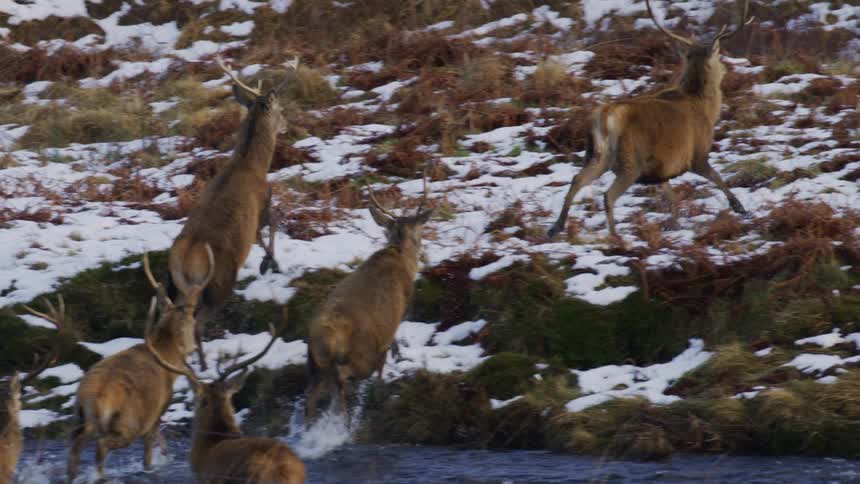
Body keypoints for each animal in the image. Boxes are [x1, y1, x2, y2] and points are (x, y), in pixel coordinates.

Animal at [67, 248, 214, 481]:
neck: (167, 358)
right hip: (128, 422)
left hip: (79, 418)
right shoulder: (157, 411)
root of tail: (92, 398)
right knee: (101, 447)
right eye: (192, 320)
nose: (194, 348)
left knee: (74, 450)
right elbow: (148, 455)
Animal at [168, 56, 299, 370]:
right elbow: (272, 226)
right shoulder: (263, 201)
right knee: (197, 324)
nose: (287, 125)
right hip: (218, 283)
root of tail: (183, 261)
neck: (253, 164)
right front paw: (270, 263)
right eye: (280, 109)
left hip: (175, 289)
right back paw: (204, 367)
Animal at [304, 179, 435, 423]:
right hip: (360, 356)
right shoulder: (398, 316)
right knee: (343, 376)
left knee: (311, 398)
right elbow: (386, 355)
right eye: (420, 231)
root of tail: (323, 338)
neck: (403, 259)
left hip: (315, 366)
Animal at [547, 0, 753, 241]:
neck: (706, 109)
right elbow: (717, 177)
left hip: (597, 155)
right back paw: (616, 238)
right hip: (630, 161)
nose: (727, 68)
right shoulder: (696, 154)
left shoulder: (661, 166)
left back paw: (556, 227)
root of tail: (606, 116)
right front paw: (739, 207)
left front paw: (675, 224)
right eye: (720, 55)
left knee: (577, 179)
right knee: (608, 194)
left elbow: (672, 197)